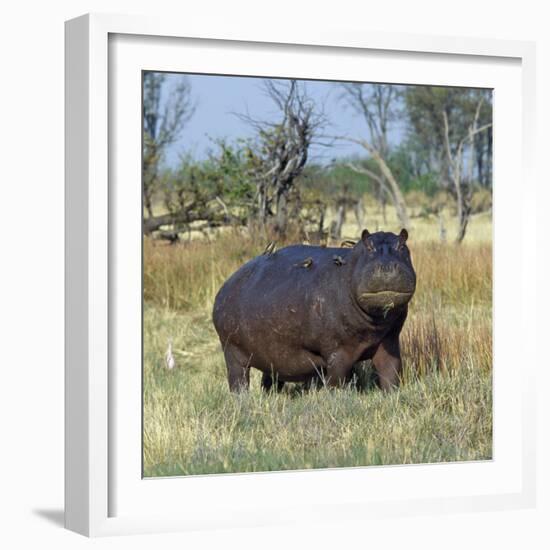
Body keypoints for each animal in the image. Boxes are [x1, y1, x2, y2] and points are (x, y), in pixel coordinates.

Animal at [213, 231, 416, 394]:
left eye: (402, 245)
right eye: (368, 246)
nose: (387, 267)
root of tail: (226, 284)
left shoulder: (389, 341)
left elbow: (391, 371)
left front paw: (392, 396)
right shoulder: (337, 351)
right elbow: (336, 379)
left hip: (268, 355)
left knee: (269, 379)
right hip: (232, 352)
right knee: (238, 379)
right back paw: (241, 399)